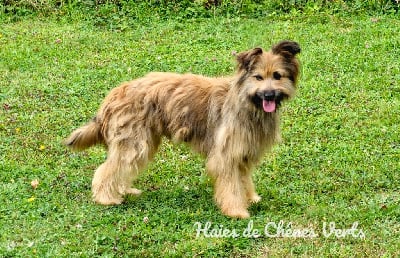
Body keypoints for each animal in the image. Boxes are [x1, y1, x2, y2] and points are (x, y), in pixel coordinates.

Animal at [65, 39, 300, 218]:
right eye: (258, 77)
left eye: (277, 76)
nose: (269, 95)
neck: (246, 102)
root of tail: (114, 94)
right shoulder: (225, 155)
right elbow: (231, 186)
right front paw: (236, 211)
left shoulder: (243, 153)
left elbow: (244, 180)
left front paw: (250, 198)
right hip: (134, 142)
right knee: (108, 169)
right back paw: (106, 198)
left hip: (141, 141)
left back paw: (125, 190)